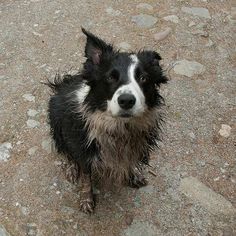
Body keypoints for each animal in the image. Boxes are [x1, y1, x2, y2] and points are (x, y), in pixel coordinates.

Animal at [47, 28, 167, 214]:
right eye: (110, 77)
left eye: (143, 78)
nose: (126, 101)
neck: (120, 127)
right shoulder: (84, 148)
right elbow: (86, 177)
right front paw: (86, 200)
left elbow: (130, 161)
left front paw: (133, 175)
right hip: (56, 122)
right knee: (64, 150)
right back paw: (71, 167)